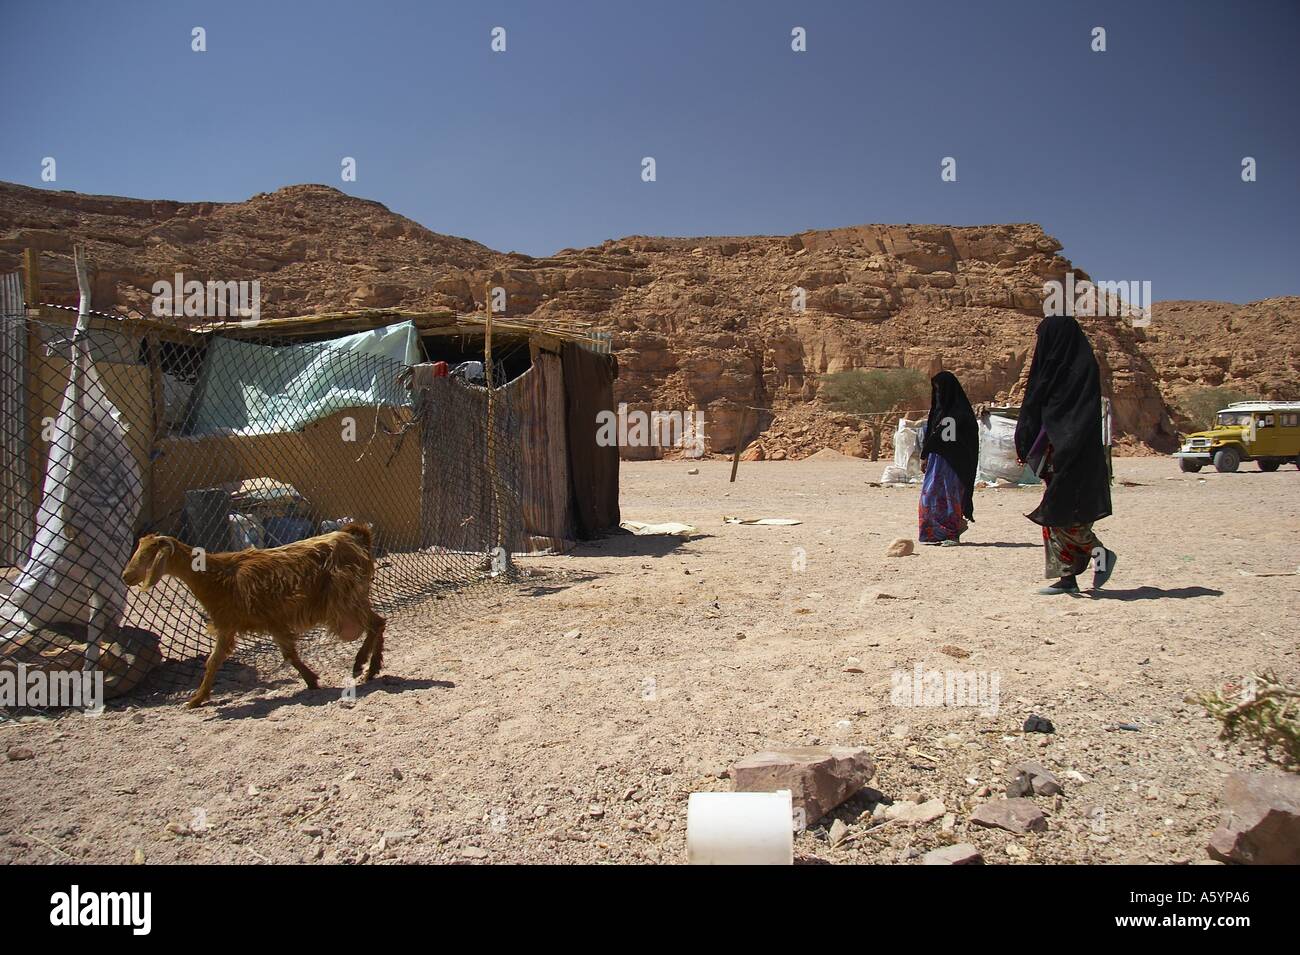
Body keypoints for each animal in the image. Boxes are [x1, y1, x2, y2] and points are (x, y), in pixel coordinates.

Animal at [121, 522, 384, 712]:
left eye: (147, 555)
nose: (126, 576)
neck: (215, 578)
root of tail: (356, 538)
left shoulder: (251, 622)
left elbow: (221, 660)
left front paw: (195, 699)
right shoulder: (250, 624)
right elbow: (218, 661)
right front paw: (198, 698)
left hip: (346, 599)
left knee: (375, 623)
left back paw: (364, 665)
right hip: (352, 599)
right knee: (378, 623)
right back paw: (367, 666)